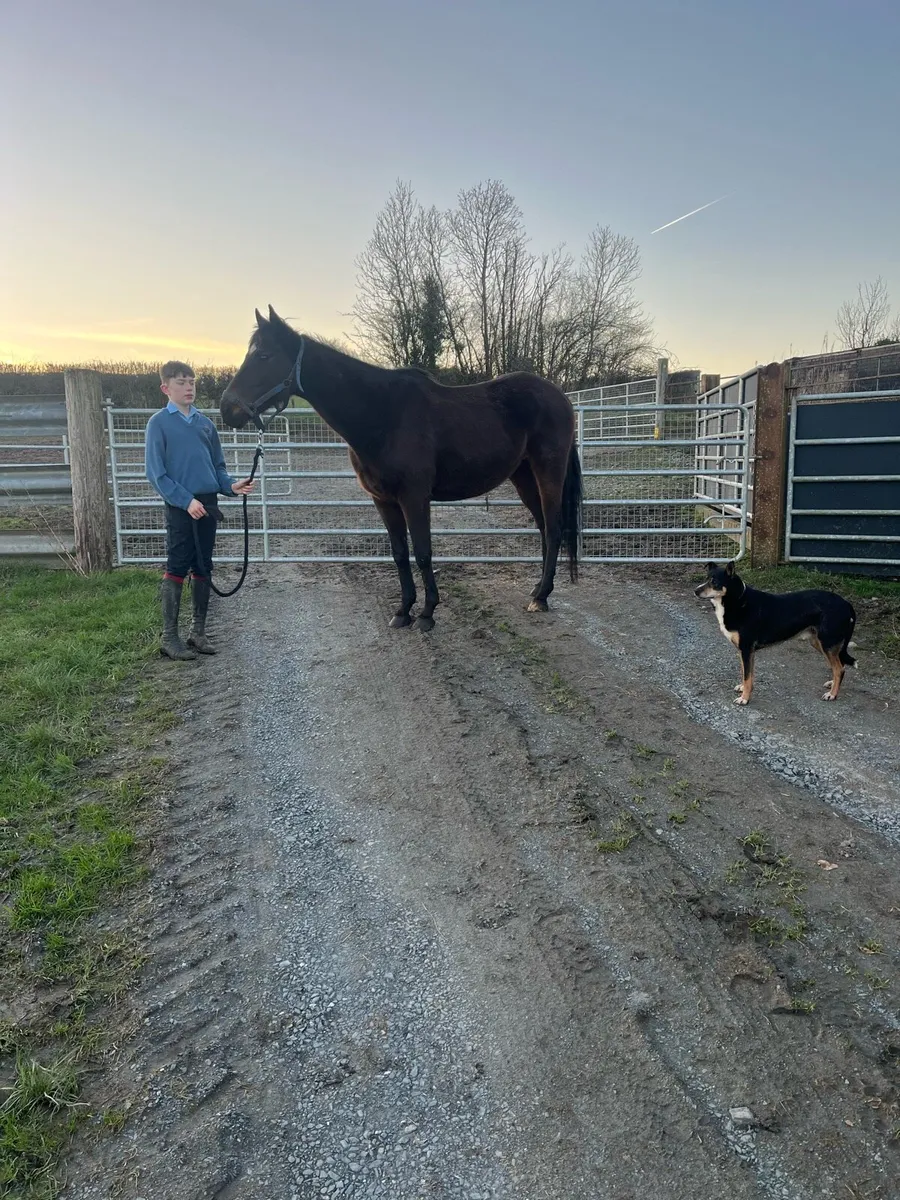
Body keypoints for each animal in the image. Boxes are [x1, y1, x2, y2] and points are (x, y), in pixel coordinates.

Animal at [220, 306, 583, 632]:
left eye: (264, 355)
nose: (227, 410)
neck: (383, 414)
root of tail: (561, 397)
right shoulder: (384, 500)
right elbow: (398, 553)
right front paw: (403, 610)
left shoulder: (414, 496)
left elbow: (422, 552)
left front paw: (427, 614)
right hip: (522, 476)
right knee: (544, 528)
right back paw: (539, 590)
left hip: (547, 471)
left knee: (553, 528)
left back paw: (541, 597)